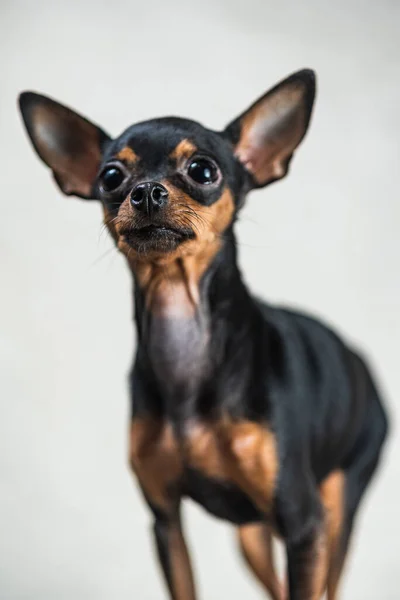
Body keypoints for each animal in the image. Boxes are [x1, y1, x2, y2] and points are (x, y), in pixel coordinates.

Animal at [18, 68, 388, 596]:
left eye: (203, 170)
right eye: (111, 177)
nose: (146, 191)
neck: (183, 328)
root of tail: (359, 361)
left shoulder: (303, 525)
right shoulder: (165, 521)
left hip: (337, 514)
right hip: (252, 535)